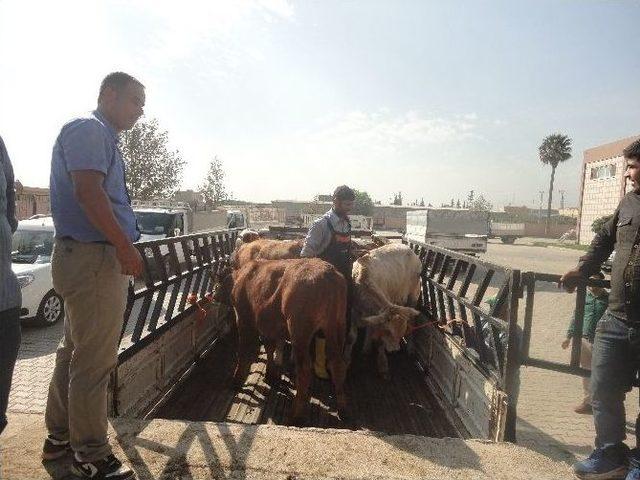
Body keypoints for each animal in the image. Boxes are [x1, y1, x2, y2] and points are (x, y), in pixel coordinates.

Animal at [221, 256, 350, 426]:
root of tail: (328, 272)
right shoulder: (268, 324)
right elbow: (269, 347)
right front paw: (270, 374)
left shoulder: (244, 318)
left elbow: (243, 351)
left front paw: (236, 381)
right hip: (336, 326)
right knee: (338, 364)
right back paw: (343, 410)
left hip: (300, 330)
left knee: (304, 369)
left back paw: (295, 416)